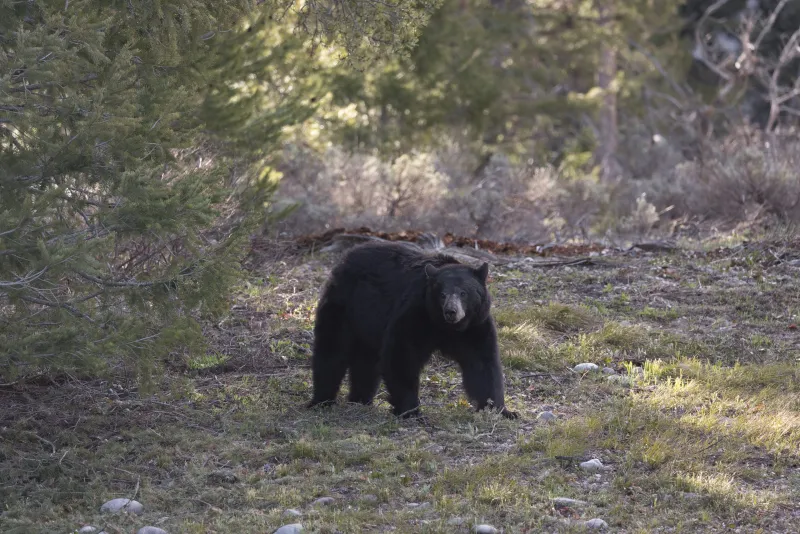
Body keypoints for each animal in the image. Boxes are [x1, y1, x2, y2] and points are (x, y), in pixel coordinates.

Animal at [307, 241, 517, 420]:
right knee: (332, 351)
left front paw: (501, 410)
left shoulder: (475, 325)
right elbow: (402, 355)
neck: (446, 327)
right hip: (344, 306)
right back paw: (322, 400)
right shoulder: (416, 314)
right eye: (442, 294)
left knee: (365, 361)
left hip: (367, 323)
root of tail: (344, 259)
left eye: (463, 293)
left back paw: (360, 400)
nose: (451, 311)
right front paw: (411, 410)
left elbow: (482, 364)